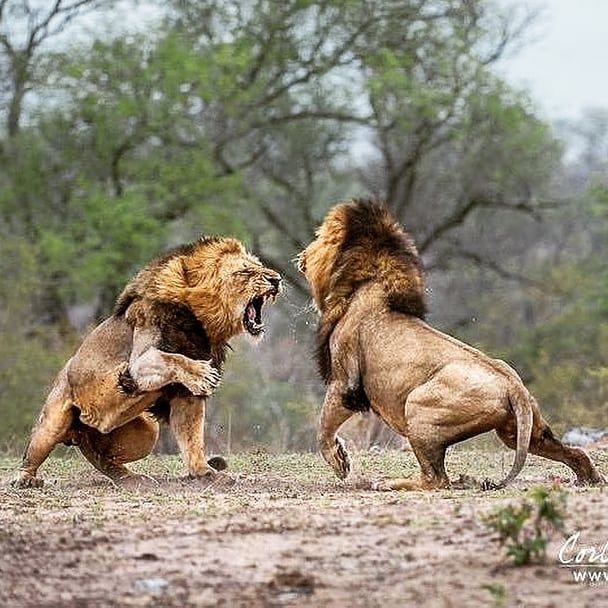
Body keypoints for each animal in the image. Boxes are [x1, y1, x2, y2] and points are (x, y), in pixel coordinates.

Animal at [13, 235, 282, 486]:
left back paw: (131, 478)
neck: (202, 325)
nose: (277, 279)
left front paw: (205, 473)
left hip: (147, 431)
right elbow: (171, 358)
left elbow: (192, 437)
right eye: (246, 271)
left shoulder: (185, 396)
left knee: (106, 459)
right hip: (52, 422)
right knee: (34, 452)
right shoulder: (136, 365)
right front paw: (202, 373)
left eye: (259, 266)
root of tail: (82, 433)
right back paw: (25, 479)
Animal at [296, 200, 600, 490]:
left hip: (417, 407)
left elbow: (323, 428)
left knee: (436, 479)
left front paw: (340, 463)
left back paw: (389, 483)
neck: (366, 282)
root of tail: (515, 388)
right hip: (521, 432)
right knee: (576, 453)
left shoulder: (344, 382)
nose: (300, 256)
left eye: (318, 237)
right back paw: (589, 479)